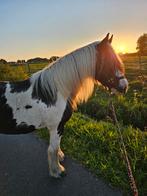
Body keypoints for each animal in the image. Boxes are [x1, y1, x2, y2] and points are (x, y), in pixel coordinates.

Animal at [0, 33, 127, 178]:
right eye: (110, 62)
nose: (125, 87)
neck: (55, 92)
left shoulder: (56, 127)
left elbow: (56, 147)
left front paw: (59, 158)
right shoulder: (57, 126)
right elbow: (53, 149)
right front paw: (57, 171)